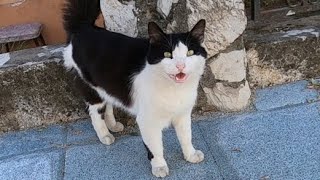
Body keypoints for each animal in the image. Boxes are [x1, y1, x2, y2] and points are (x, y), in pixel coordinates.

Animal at [62, 0, 208, 177]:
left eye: (190, 53)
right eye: (167, 55)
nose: (181, 66)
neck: (174, 90)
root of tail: (84, 27)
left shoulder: (183, 114)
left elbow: (186, 137)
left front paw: (190, 155)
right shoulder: (147, 120)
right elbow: (155, 147)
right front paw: (159, 166)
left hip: (106, 85)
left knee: (109, 103)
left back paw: (113, 125)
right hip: (91, 87)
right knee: (95, 113)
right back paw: (105, 135)